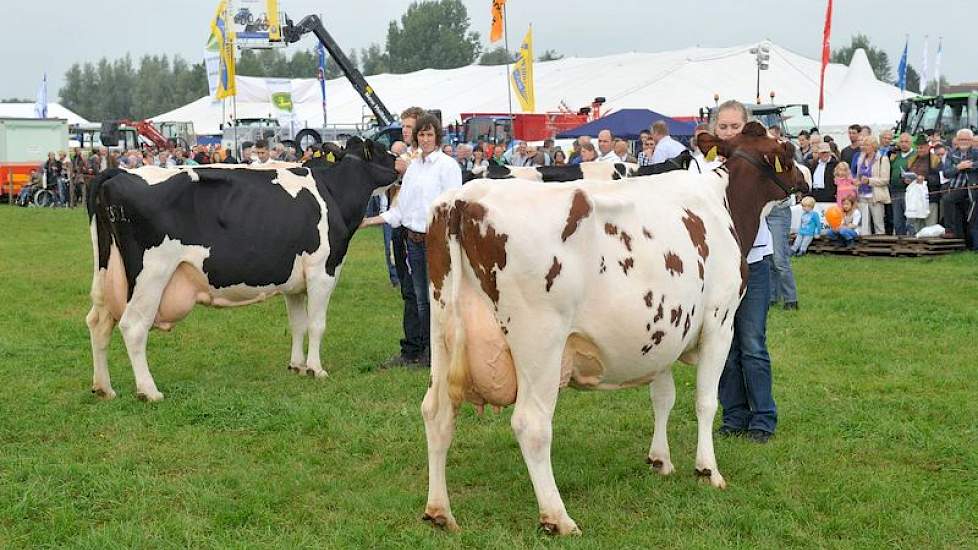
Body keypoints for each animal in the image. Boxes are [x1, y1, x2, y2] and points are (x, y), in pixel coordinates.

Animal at [86, 140, 398, 404]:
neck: (332, 192)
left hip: (105, 273)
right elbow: (316, 324)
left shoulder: (294, 283)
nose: (400, 162)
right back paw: (149, 391)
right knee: (133, 326)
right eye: (380, 149)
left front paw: (296, 365)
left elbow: (298, 324)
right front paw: (315, 369)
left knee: (98, 322)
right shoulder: (323, 270)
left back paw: (104, 388)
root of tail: (117, 173)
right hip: (151, 274)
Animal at [416, 123, 804, 536]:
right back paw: (558, 517)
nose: (805, 178)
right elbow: (705, 400)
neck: (722, 203)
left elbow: (662, 398)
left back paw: (439, 511)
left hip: (442, 330)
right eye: (786, 148)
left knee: (437, 412)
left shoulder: (663, 331)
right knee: (531, 424)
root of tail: (464, 199)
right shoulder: (720, 320)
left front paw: (660, 460)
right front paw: (707, 470)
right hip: (539, 341)